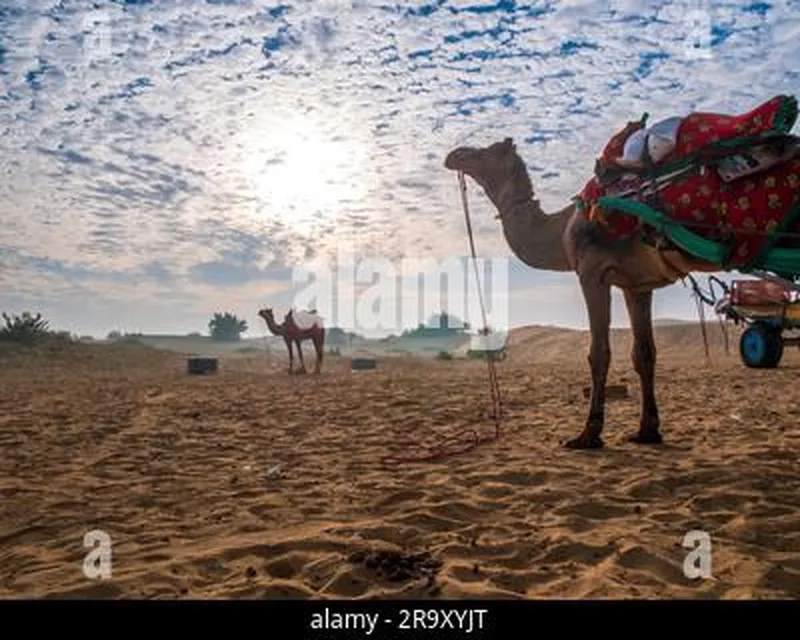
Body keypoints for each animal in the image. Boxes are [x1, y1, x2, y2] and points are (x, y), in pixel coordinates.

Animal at [444, 107, 800, 450]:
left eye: (487, 151)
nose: (454, 154)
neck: (562, 228)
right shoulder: (636, 285)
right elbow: (644, 353)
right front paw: (647, 430)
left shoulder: (592, 273)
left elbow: (599, 353)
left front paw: (588, 434)